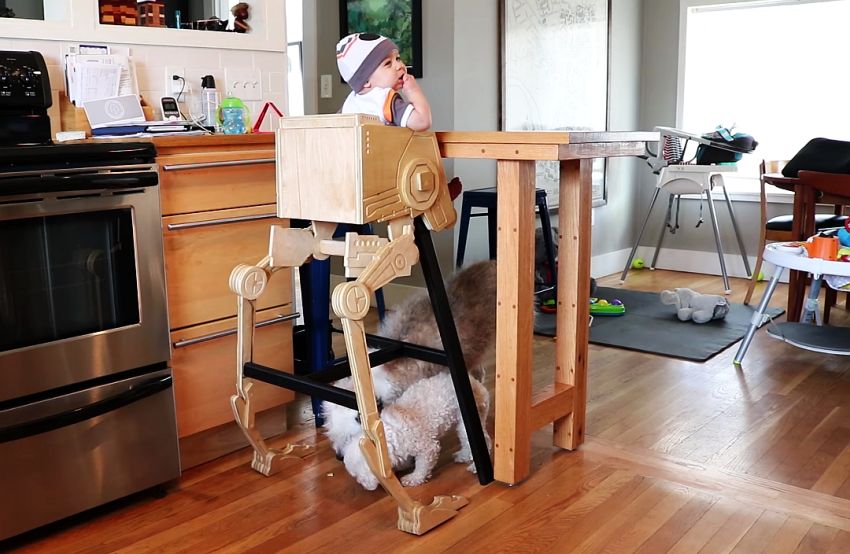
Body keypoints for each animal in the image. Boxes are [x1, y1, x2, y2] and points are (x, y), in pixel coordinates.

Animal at [322, 370, 486, 488]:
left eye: (357, 476)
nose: (365, 486)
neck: (384, 437)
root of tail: (474, 381)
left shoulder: (427, 448)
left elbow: (422, 465)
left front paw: (413, 478)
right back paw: (463, 456)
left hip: (467, 422)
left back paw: (474, 466)